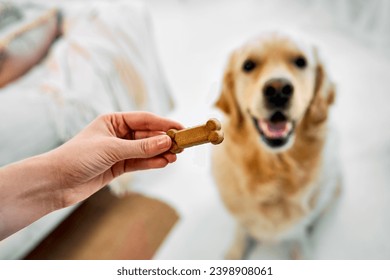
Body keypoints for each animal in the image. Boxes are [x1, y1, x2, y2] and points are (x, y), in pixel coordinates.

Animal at [212, 31, 340, 260]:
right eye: (248, 65)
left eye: (300, 62)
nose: (278, 90)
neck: (274, 171)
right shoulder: (241, 216)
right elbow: (241, 231)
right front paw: (234, 252)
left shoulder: (298, 227)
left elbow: (300, 240)